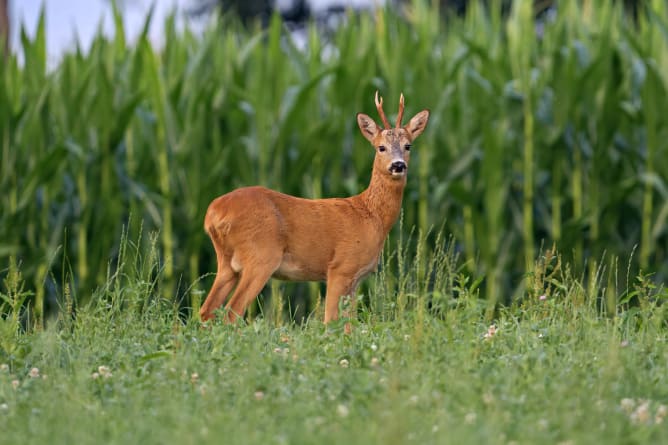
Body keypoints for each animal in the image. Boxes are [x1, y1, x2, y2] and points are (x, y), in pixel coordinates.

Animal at [200, 92, 429, 328]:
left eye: (408, 146)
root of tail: (214, 213)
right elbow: (331, 322)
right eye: (381, 147)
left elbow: (350, 324)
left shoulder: (355, 278)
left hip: (227, 262)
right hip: (261, 256)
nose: (398, 165)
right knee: (231, 312)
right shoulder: (340, 267)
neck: (372, 216)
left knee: (206, 310)